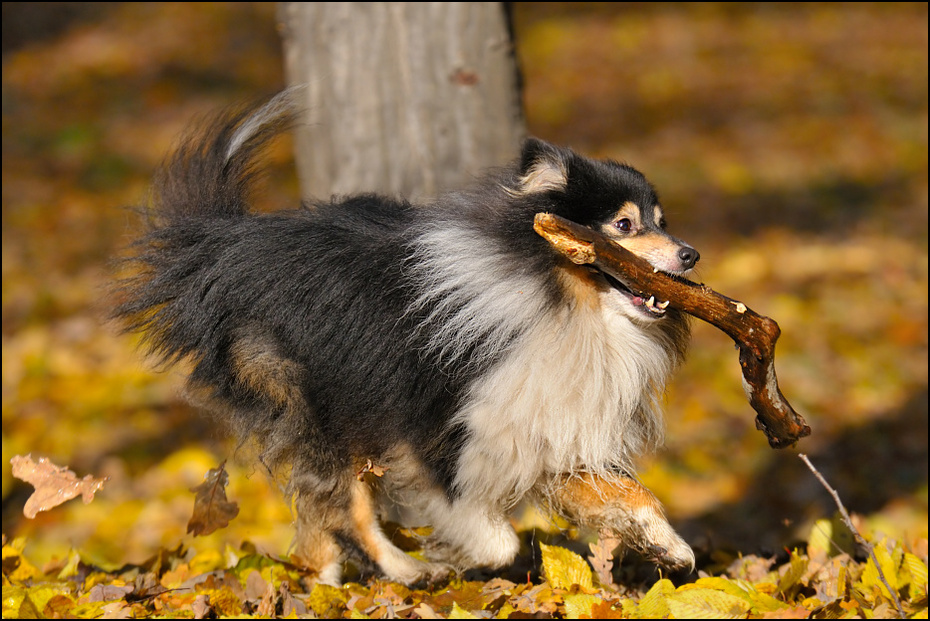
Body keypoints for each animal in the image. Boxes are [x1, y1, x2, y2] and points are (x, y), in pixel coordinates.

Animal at [114, 89, 696, 584]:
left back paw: (325, 586)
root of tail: (228, 242)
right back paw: (406, 571)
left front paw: (671, 548)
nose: (690, 254)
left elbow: (631, 492)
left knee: (317, 525)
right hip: (315, 404)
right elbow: (494, 538)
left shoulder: (545, 429)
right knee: (346, 510)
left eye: (662, 222)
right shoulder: (443, 431)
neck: (563, 307)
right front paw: (453, 557)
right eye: (623, 225)